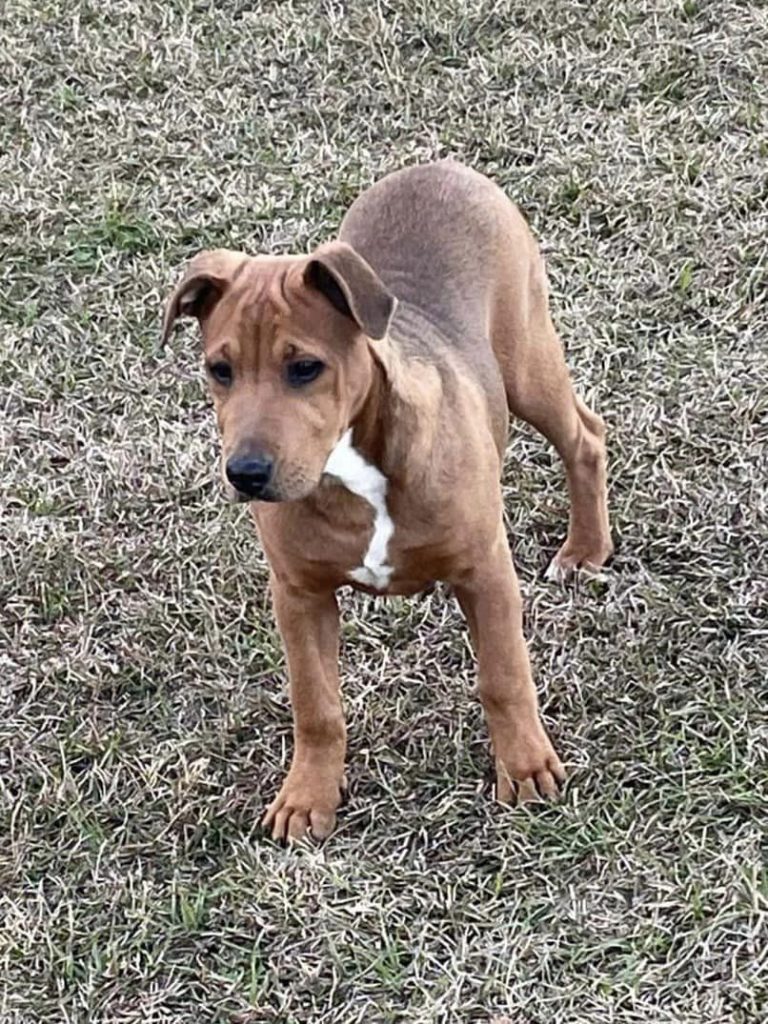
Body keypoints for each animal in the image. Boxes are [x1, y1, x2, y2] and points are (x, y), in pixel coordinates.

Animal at [160, 157, 614, 839]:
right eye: (220, 370)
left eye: (305, 368)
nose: (245, 473)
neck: (351, 471)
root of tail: (442, 165)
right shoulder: (299, 594)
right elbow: (316, 705)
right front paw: (307, 796)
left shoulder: (485, 571)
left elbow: (504, 676)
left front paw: (525, 767)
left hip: (527, 362)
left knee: (584, 435)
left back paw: (586, 549)